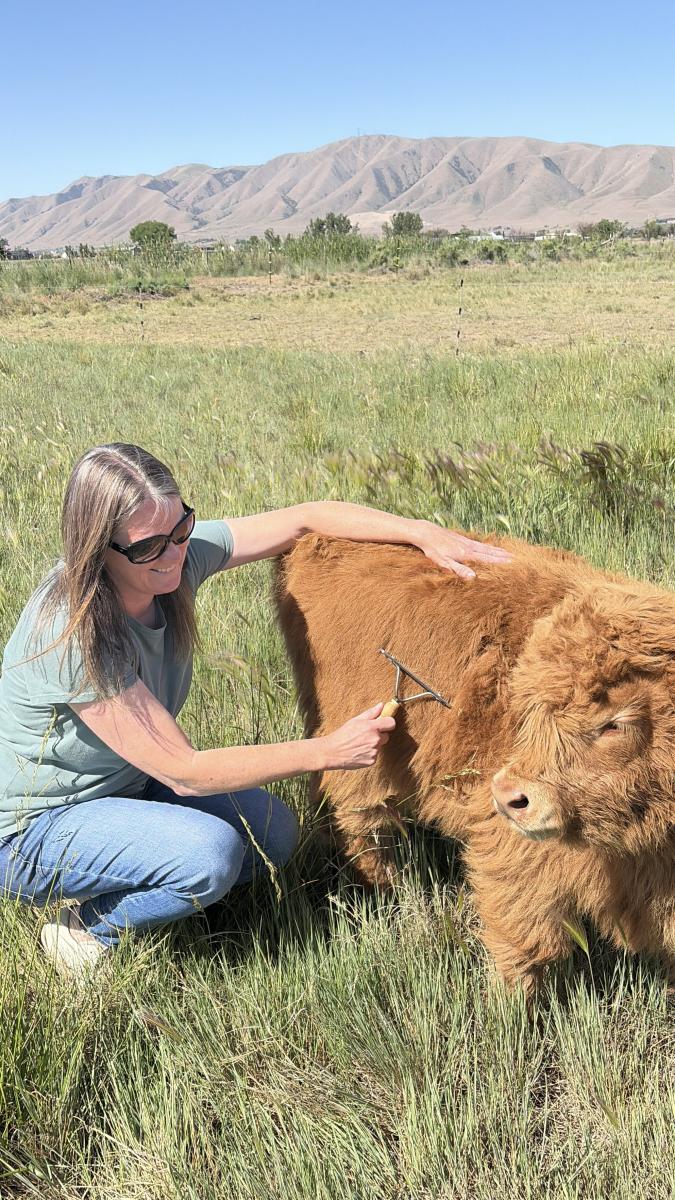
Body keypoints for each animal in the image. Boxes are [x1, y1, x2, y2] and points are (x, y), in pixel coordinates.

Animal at [275, 532, 675, 993]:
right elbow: (525, 941)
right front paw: (511, 1007)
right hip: (355, 753)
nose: (509, 796)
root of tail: (315, 539)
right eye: (530, 712)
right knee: (363, 821)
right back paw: (384, 889)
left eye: (616, 723)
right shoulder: (515, 853)